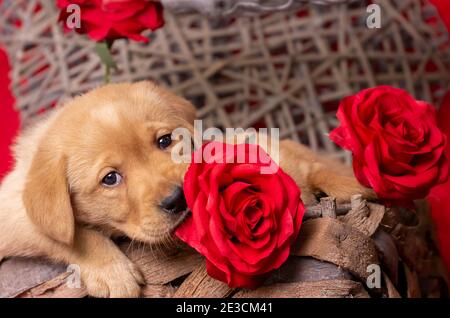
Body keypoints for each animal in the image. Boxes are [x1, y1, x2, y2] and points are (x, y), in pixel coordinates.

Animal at [0, 80, 372, 296]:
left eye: (165, 141)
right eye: (110, 179)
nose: (177, 199)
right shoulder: (14, 214)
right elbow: (68, 233)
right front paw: (112, 273)